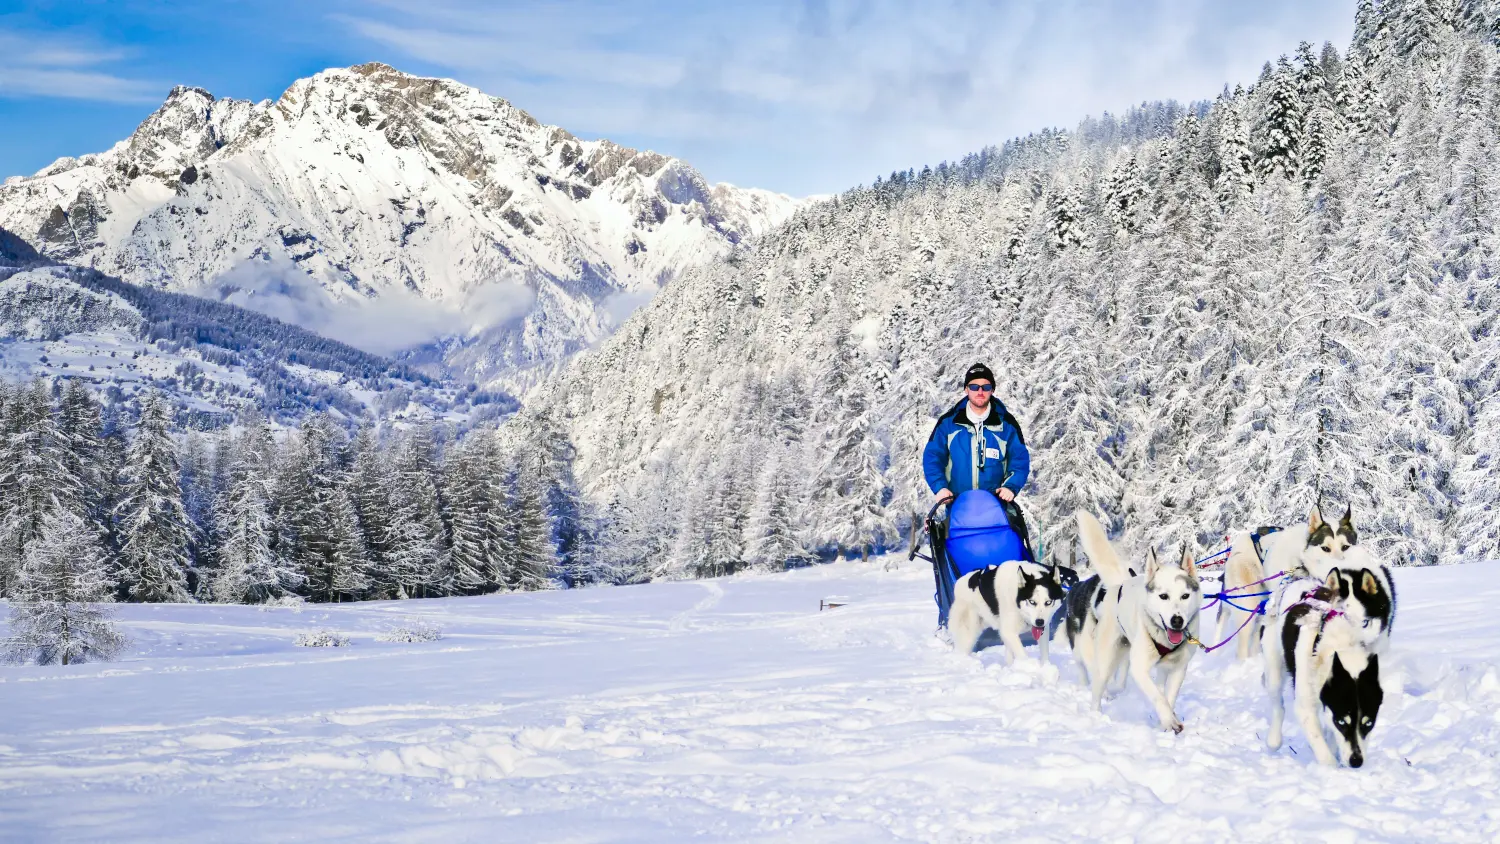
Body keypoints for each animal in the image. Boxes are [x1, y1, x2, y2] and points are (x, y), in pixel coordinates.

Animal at [1074, 512, 1200, 737]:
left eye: (1185, 596)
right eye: (1163, 596)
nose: (1177, 620)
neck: (1164, 640)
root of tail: (1120, 584)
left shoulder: (1178, 669)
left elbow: (1167, 697)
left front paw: (1167, 721)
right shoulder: (1140, 668)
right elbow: (1158, 697)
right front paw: (1169, 721)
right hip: (1106, 660)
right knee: (1098, 690)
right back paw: (1096, 716)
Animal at [1266, 572, 1380, 767]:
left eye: (1369, 723)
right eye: (1341, 721)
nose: (1356, 761)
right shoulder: (1306, 707)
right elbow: (1324, 753)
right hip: (1274, 669)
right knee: (1277, 706)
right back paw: (1274, 740)